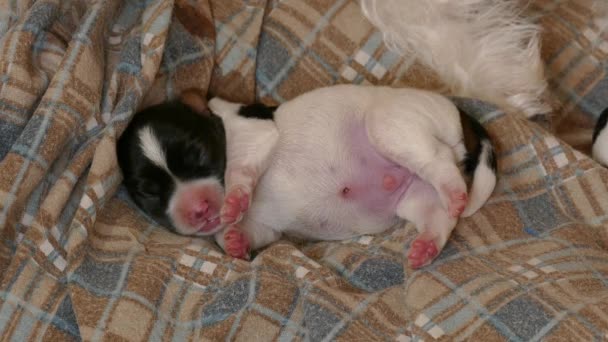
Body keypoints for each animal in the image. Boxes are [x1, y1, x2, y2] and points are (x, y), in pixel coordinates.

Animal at [211, 84, 496, 268]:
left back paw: (454, 193)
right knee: (439, 219)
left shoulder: (253, 131)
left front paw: (232, 202)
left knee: (439, 158)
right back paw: (426, 246)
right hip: (419, 196)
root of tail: (455, 108)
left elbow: (238, 169)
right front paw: (233, 239)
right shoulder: (268, 229)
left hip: (390, 126)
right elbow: (242, 232)